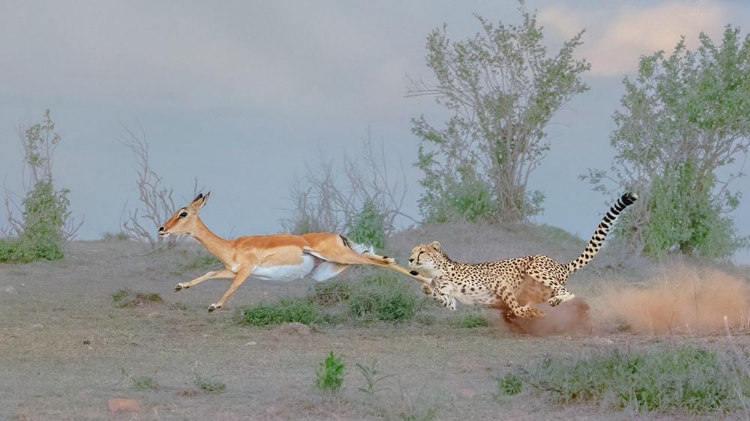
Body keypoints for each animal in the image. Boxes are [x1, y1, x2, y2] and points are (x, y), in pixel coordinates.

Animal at [408, 193, 636, 318]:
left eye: (421, 251)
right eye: (412, 252)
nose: (410, 259)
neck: (438, 271)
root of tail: (560, 264)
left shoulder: (498, 282)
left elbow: (515, 305)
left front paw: (524, 313)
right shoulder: (452, 300)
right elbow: (443, 299)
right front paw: (426, 288)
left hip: (535, 267)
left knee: (569, 292)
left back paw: (552, 303)